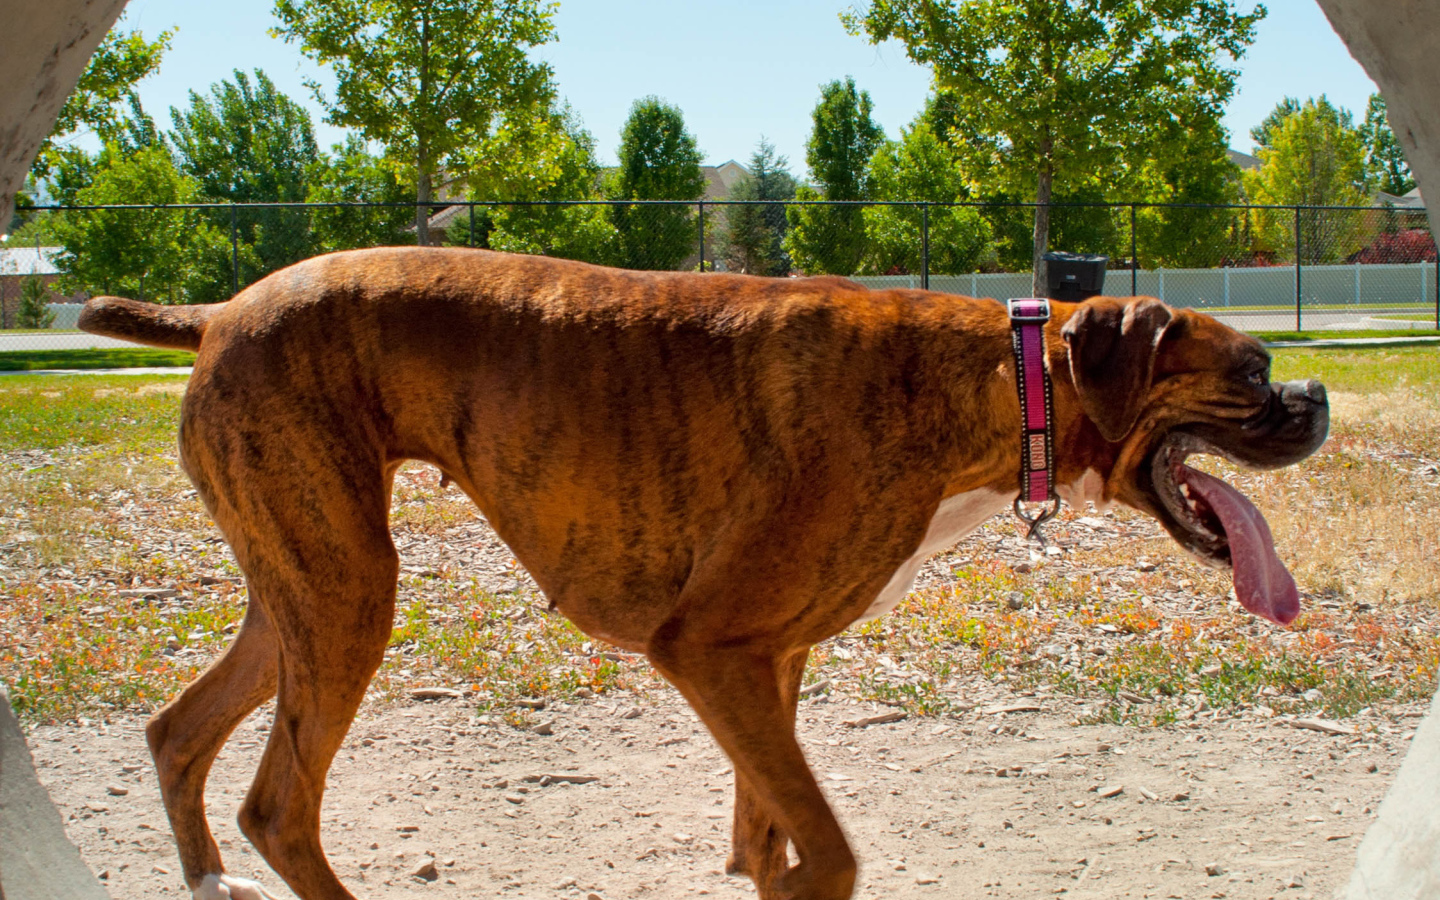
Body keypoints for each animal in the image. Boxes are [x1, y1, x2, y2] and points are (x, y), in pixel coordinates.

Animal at [81, 249, 1324, 898]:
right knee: (278, 806)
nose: (1316, 397)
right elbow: (827, 849)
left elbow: (770, 831)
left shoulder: (767, 664)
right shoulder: (711, 652)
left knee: (178, 731)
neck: (999, 373)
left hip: (304, 591)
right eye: (1255, 368)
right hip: (347, 596)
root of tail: (222, 310)